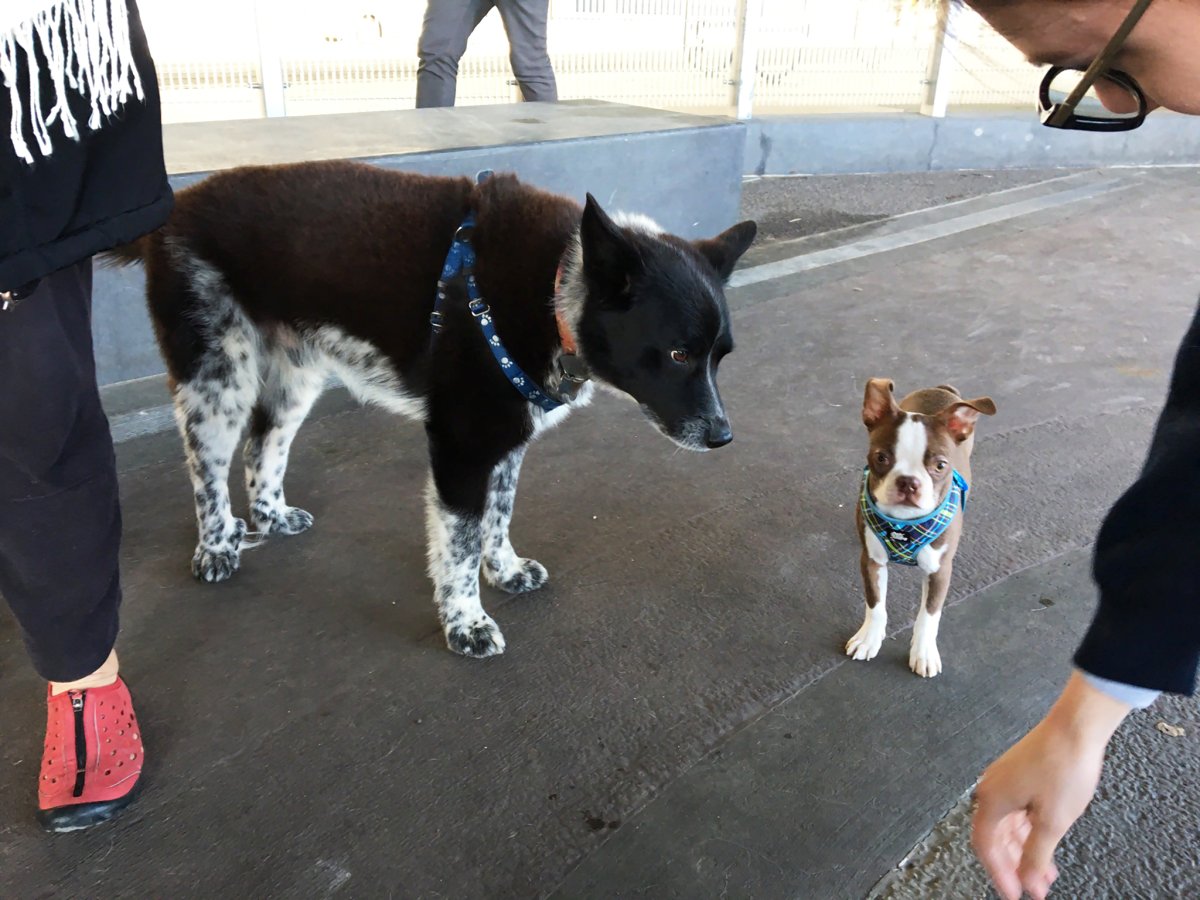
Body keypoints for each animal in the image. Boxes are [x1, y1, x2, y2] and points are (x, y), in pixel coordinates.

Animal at [110, 160, 748, 657]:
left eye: (720, 356)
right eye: (678, 353)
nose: (722, 437)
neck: (556, 288)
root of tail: (173, 213)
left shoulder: (505, 441)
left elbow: (498, 517)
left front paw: (506, 571)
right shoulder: (462, 447)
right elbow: (459, 547)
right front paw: (466, 623)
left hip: (296, 377)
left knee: (262, 445)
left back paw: (270, 516)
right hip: (217, 377)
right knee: (207, 467)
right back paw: (217, 545)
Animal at [849, 379, 998, 676]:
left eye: (940, 465)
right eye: (881, 458)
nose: (908, 482)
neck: (903, 524)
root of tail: (941, 388)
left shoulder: (940, 571)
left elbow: (929, 616)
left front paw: (924, 652)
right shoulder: (871, 561)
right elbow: (875, 604)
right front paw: (869, 638)